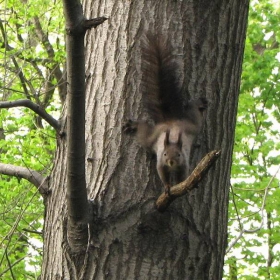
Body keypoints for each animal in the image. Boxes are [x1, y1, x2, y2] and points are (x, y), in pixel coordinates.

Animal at [123, 35, 207, 195]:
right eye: (165, 154)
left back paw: (198, 103)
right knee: (143, 130)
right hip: (151, 138)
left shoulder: (184, 163)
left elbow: (183, 175)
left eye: (178, 155)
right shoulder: (161, 162)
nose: (171, 162)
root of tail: (170, 122)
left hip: (191, 126)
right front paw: (168, 186)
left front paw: (180, 184)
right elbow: (162, 174)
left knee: (195, 115)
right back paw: (134, 124)